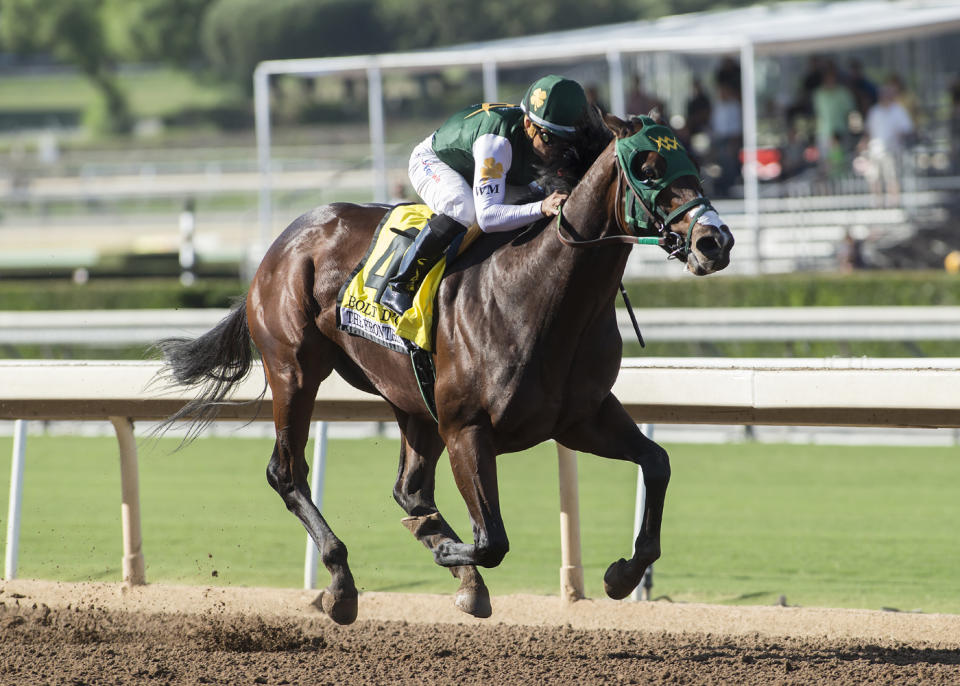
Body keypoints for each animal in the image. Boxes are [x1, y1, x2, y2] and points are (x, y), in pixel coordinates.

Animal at [156, 111, 736, 628]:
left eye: (691, 161)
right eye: (648, 167)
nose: (716, 241)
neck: (540, 294)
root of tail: (282, 242)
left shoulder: (581, 418)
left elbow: (657, 463)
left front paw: (621, 575)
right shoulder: (467, 428)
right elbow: (492, 541)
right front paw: (448, 553)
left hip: (410, 397)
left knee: (409, 489)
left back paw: (443, 561)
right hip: (295, 371)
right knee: (288, 472)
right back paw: (342, 585)